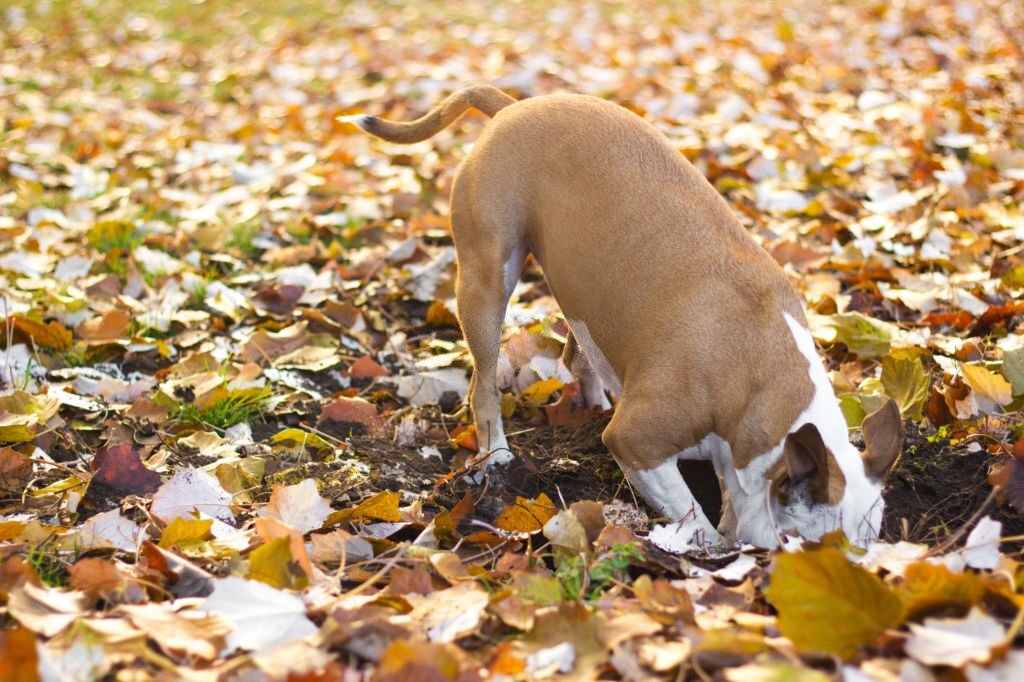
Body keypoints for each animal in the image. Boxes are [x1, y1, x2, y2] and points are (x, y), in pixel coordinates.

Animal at [339, 84, 901, 548]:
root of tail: (514, 106)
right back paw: (496, 455)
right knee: (483, 381)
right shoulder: (637, 441)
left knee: (577, 350)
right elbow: (692, 517)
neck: (761, 379)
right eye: (803, 543)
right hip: (485, 281)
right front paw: (711, 544)